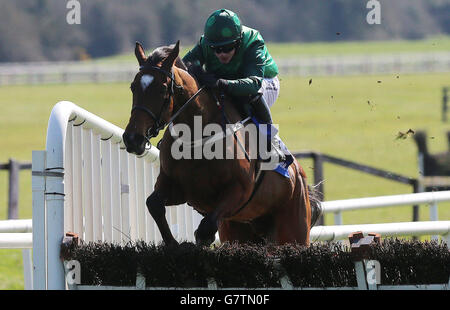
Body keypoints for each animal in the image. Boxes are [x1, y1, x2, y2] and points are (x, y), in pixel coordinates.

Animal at [122, 40, 320, 246]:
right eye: (133, 87)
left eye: (162, 89)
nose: (132, 138)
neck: (196, 138)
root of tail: (299, 175)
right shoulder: (177, 187)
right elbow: (153, 204)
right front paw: (173, 244)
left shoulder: (238, 193)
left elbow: (205, 229)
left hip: (292, 229)